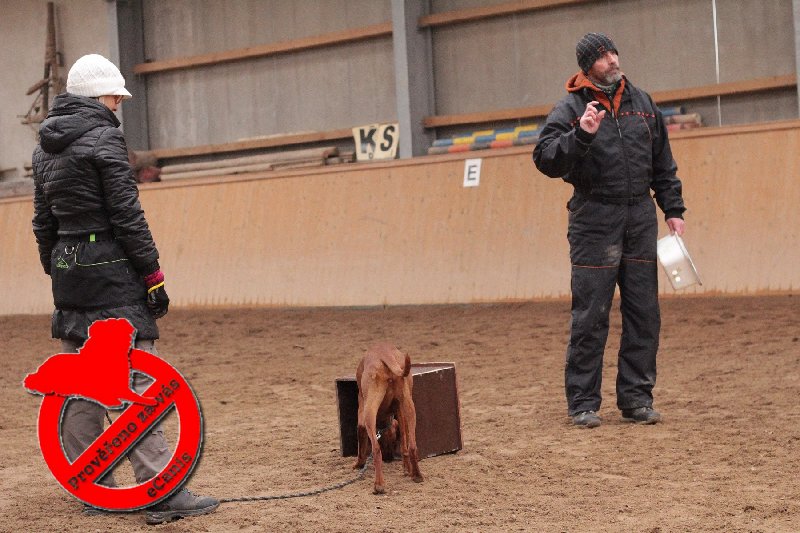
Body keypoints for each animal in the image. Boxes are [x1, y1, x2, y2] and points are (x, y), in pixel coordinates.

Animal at [354, 342, 422, 492]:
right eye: (392, 441)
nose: (389, 458)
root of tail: (384, 353)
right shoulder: (399, 409)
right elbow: (404, 445)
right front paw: (407, 470)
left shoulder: (361, 414)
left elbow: (361, 442)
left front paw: (359, 464)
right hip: (409, 405)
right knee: (412, 446)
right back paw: (417, 475)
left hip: (368, 411)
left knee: (376, 449)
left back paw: (379, 485)